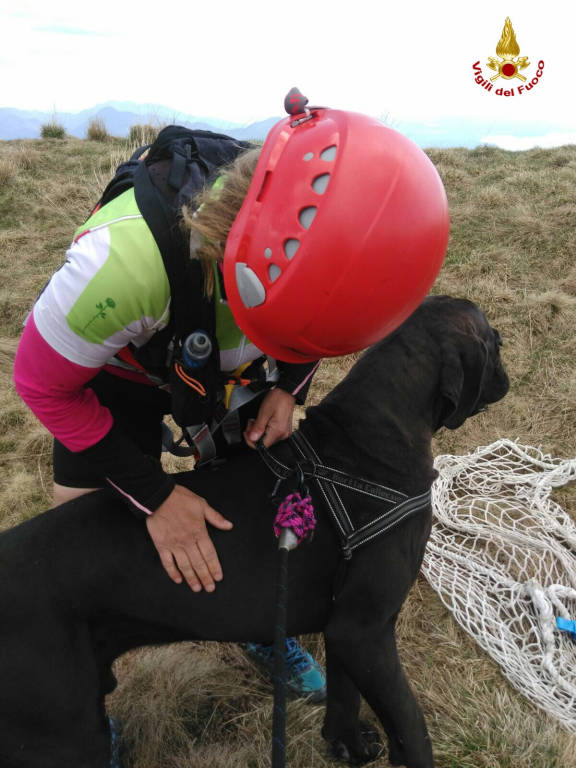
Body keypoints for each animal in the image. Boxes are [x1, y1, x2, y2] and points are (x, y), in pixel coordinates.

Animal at [0, 296, 506, 768]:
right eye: (495, 340)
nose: (504, 372)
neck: (367, 442)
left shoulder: (345, 627)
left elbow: (345, 695)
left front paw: (347, 744)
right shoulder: (367, 630)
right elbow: (410, 724)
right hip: (65, 731)